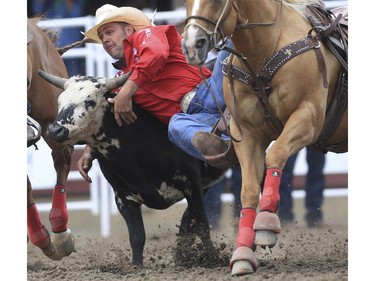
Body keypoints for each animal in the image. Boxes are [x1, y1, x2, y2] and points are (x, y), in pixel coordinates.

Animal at [182, 0, 350, 276]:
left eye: (217, 2)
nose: (191, 44)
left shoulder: (308, 118)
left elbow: (276, 155)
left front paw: (266, 224)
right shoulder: (247, 134)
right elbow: (249, 189)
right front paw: (242, 252)